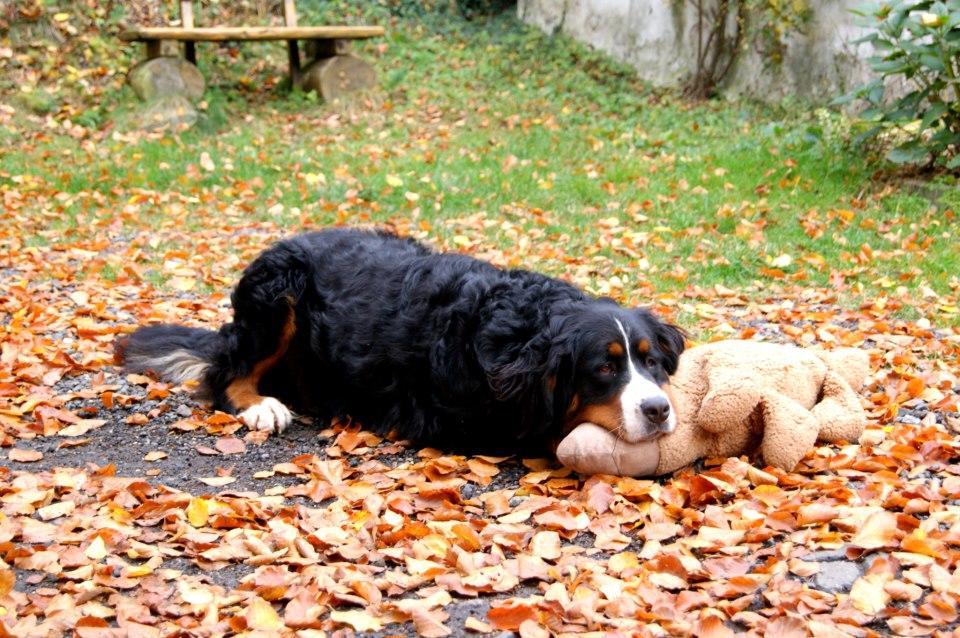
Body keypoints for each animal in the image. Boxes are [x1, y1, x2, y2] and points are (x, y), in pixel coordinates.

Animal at [116, 230, 688, 456]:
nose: (657, 410)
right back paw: (263, 407)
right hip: (280, 293)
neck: (520, 329)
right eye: (603, 369)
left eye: (651, 362)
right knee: (225, 374)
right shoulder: (463, 418)